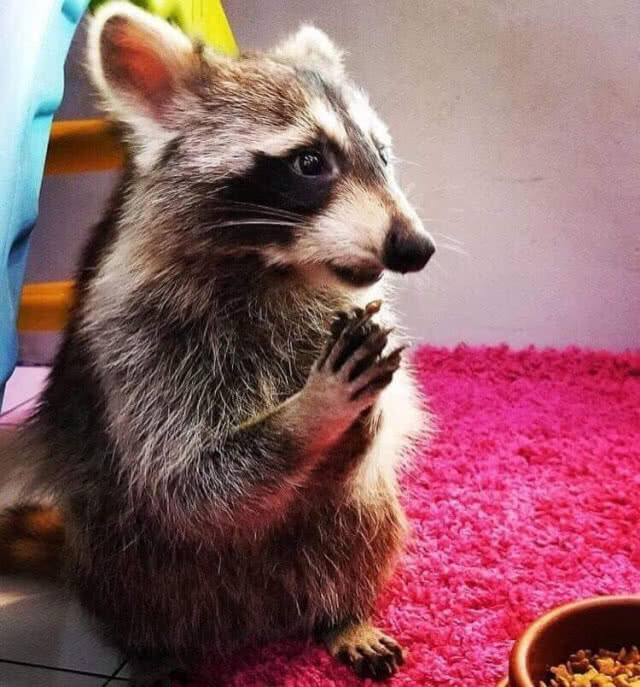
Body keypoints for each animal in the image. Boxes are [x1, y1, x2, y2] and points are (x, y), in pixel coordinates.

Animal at [0, 3, 435, 684]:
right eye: (311, 162)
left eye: (383, 156)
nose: (415, 248)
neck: (276, 266)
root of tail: (254, 619)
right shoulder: (139, 334)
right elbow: (187, 477)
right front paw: (311, 415)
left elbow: (386, 428)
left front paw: (364, 422)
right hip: (121, 560)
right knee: (135, 579)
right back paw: (154, 651)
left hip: (351, 530)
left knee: (366, 519)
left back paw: (345, 613)